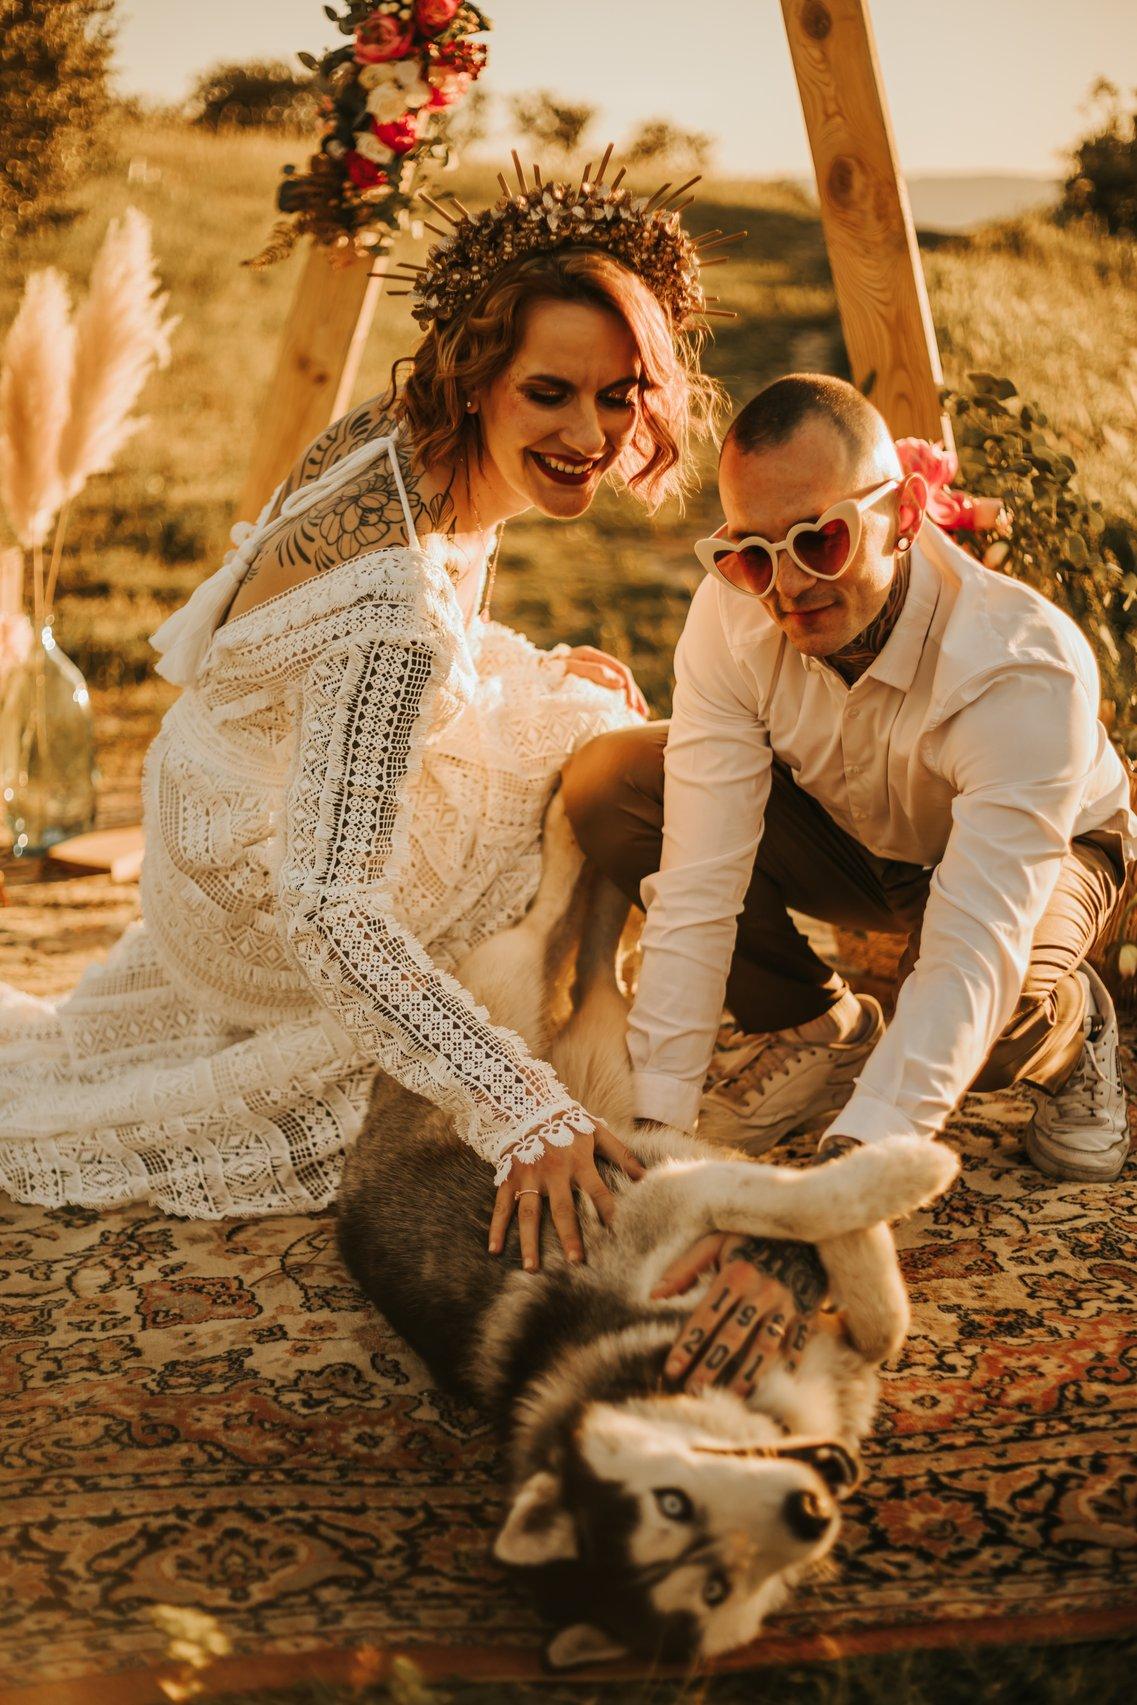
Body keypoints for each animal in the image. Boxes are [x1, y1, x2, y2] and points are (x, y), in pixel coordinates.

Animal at [340, 794, 961, 1664]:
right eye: (712, 1583)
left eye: (672, 1500)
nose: (810, 1508)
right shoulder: (674, 1202)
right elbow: (836, 1250)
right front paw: (904, 1173)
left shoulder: (675, 1200)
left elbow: (812, 1221)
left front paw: (891, 1170)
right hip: (604, 1060)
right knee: (591, 970)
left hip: (525, 1010)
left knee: (553, 923)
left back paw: (576, 826)